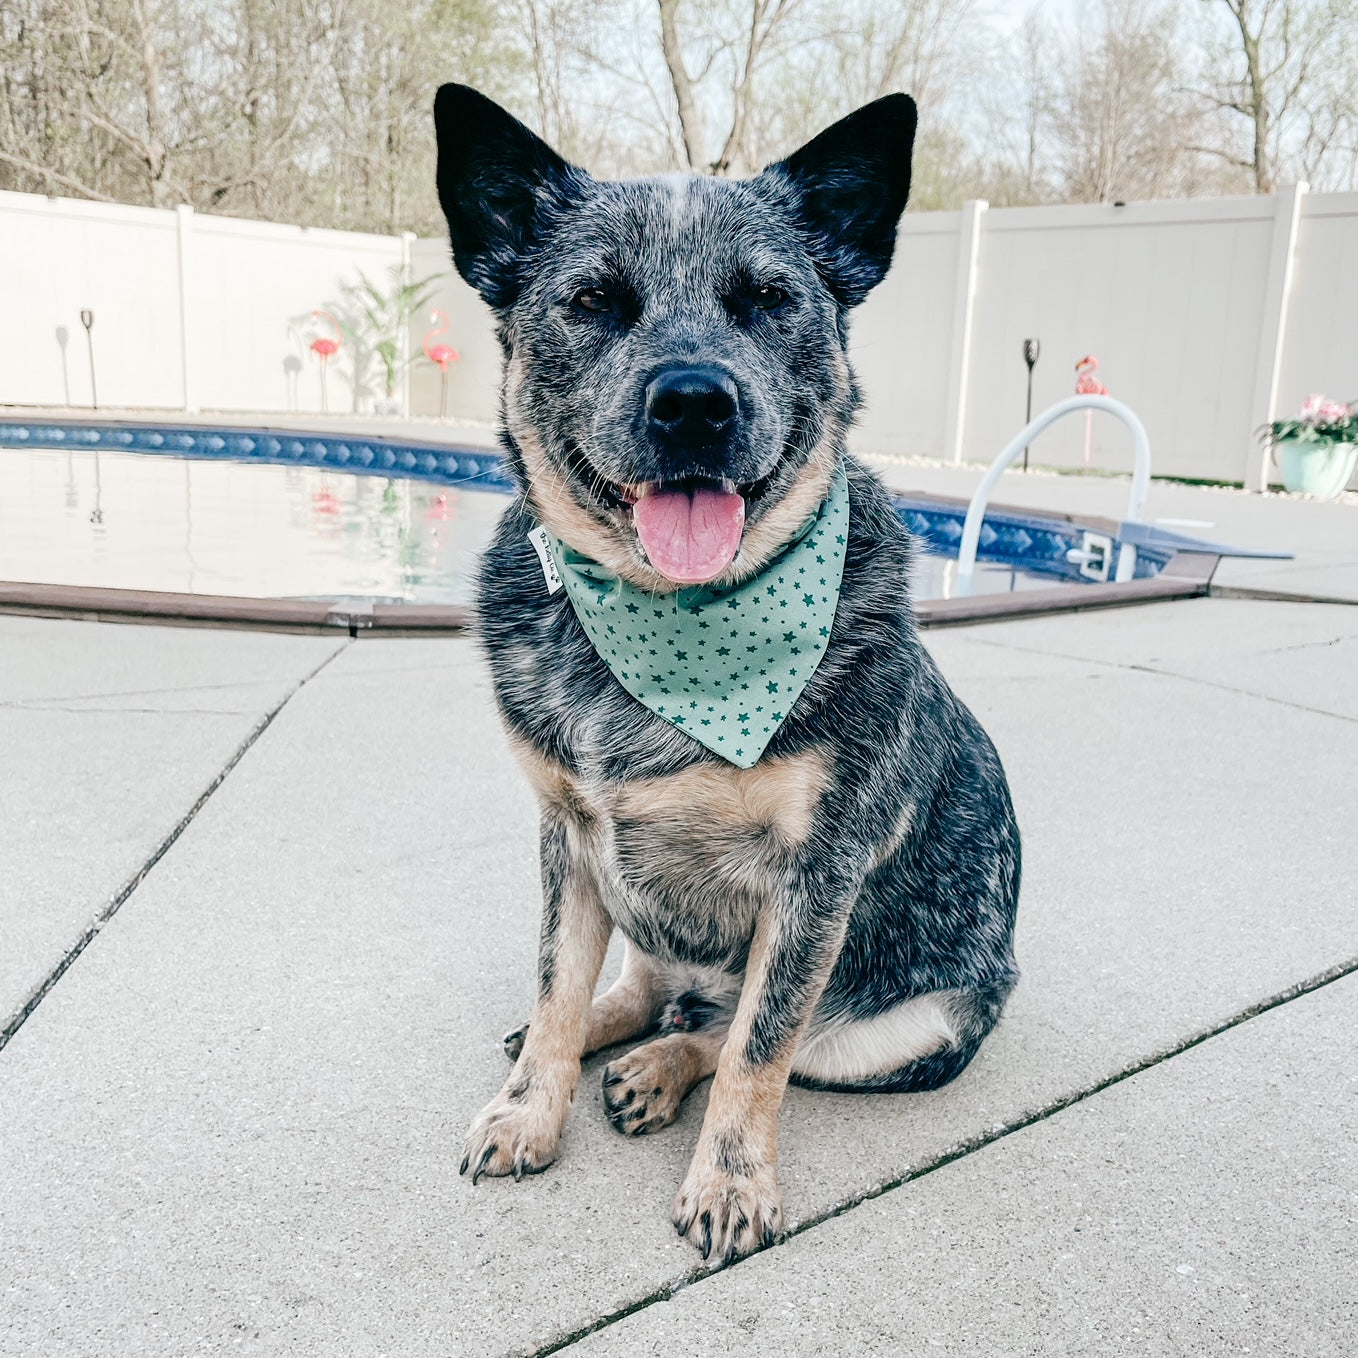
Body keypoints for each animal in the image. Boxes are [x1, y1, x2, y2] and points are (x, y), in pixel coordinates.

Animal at [434, 82, 1021, 1260]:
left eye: (768, 300)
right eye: (593, 300)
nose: (695, 400)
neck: (664, 623)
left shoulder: (814, 878)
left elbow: (759, 1048)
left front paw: (730, 1182)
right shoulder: (567, 834)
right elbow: (557, 984)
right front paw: (530, 1106)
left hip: (916, 1023)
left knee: (742, 1028)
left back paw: (661, 1068)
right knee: (647, 982)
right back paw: (614, 1033)